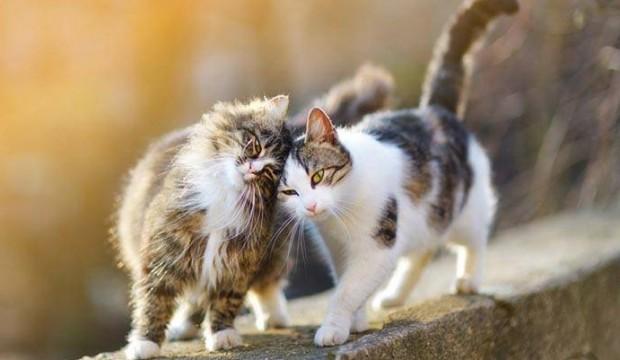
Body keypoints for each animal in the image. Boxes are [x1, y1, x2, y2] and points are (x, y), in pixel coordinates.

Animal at [278, 0, 520, 348]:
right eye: (288, 192)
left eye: (318, 176)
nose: (310, 207)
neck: (341, 215)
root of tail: (433, 109)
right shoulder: (338, 250)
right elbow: (348, 284)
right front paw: (357, 320)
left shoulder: (377, 247)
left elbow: (347, 290)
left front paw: (334, 328)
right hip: (424, 219)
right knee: (423, 251)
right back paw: (394, 295)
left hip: (465, 209)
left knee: (475, 240)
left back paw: (469, 279)